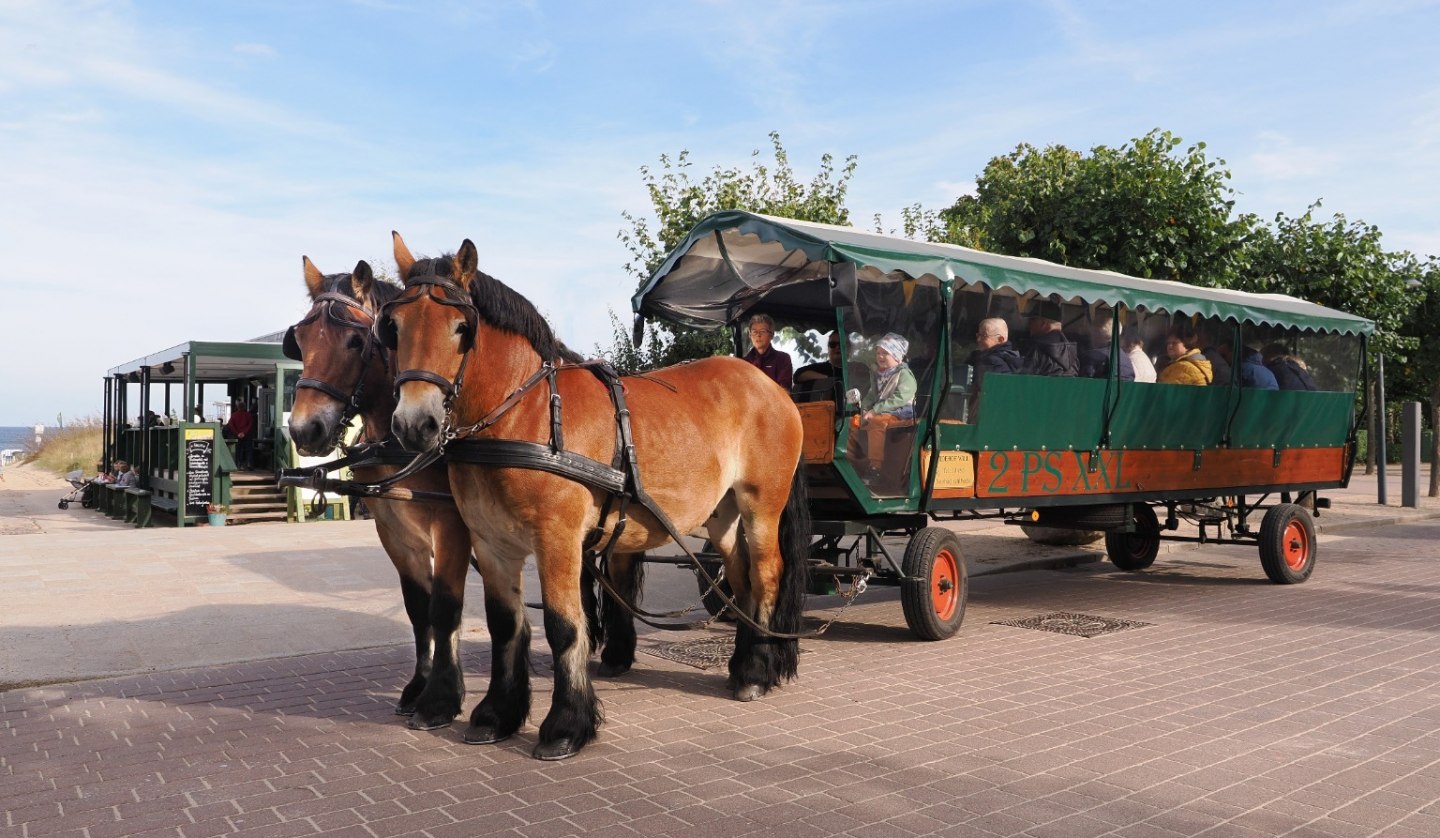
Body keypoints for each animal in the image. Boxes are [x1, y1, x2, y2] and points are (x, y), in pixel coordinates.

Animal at [380, 234, 812, 760]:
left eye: (462, 328)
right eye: (394, 328)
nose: (413, 425)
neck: (526, 413)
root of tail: (770, 387)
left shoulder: (558, 539)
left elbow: (565, 626)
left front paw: (566, 725)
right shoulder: (492, 542)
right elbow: (505, 623)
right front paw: (497, 715)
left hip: (760, 504)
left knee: (767, 575)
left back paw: (757, 672)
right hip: (722, 516)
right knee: (741, 577)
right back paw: (742, 664)